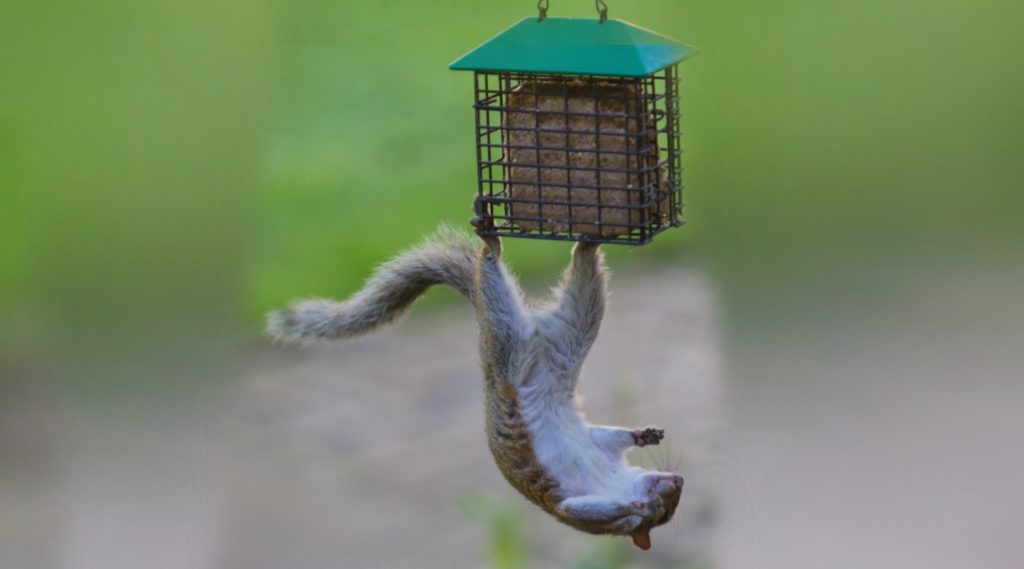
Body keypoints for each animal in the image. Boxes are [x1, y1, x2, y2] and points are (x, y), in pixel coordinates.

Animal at [266, 220, 679, 548]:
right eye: (668, 502)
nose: (678, 477)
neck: (617, 480)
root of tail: (535, 341)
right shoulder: (575, 509)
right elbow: (588, 503)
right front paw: (633, 491)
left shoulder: (599, 451)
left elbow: (602, 436)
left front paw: (644, 435)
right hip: (508, 339)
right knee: (492, 269)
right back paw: (496, 239)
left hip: (574, 324)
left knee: (582, 277)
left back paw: (585, 242)